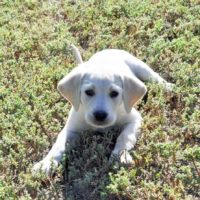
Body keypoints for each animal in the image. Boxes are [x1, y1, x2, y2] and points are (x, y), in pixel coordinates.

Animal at [32, 45, 173, 173]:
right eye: (89, 92)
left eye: (114, 93)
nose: (100, 115)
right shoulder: (71, 129)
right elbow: (58, 145)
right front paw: (46, 164)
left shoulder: (135, 119)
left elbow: (125, 136)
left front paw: (119, 156)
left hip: (139, 66)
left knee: (154, 76)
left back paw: (167, 86)